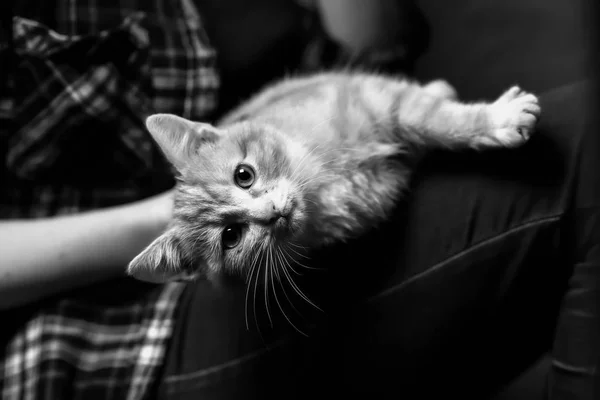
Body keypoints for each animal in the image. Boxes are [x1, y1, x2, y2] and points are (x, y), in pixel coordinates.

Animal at [129, 72, 540, 288]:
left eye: (243, 175)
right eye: (231, 236)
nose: (272, 212)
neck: (320, 183)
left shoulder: (372, 97)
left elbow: (435, 118)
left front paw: (498, 118)